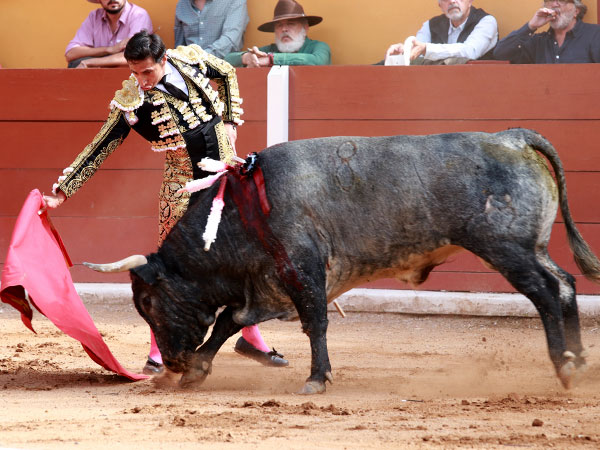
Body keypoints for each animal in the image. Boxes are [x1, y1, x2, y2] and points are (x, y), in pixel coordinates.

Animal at [85, 129, 600, 394]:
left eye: (149, 304)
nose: (171, 362)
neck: (240, 213)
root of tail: (511, 138)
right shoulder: (269, 281)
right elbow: (230, 321)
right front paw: (198, 370)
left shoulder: (301, 270)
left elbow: (314, 322)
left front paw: (317, 379)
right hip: (531, 246)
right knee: (566, 283)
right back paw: (577, 359)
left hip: (505, 248)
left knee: (545, 292)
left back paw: (564, 366)